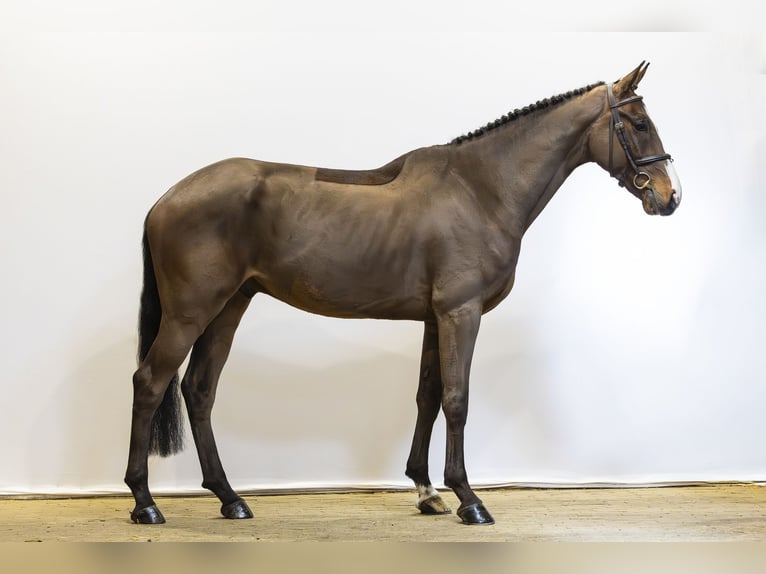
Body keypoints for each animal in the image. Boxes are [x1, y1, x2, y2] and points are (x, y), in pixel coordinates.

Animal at [125, 62, 681, 526]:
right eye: (637, 124)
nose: (669, 196)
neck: (480, 189)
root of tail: (164, 200)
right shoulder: (461, 313)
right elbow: (457, 399)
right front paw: (469, 499)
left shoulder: (436, 318)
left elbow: (428, 395)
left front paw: (426, 491)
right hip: (190, 312)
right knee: (150, 382)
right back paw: (146, 503)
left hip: (229, 307)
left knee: (199, 390)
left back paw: (230, 498)